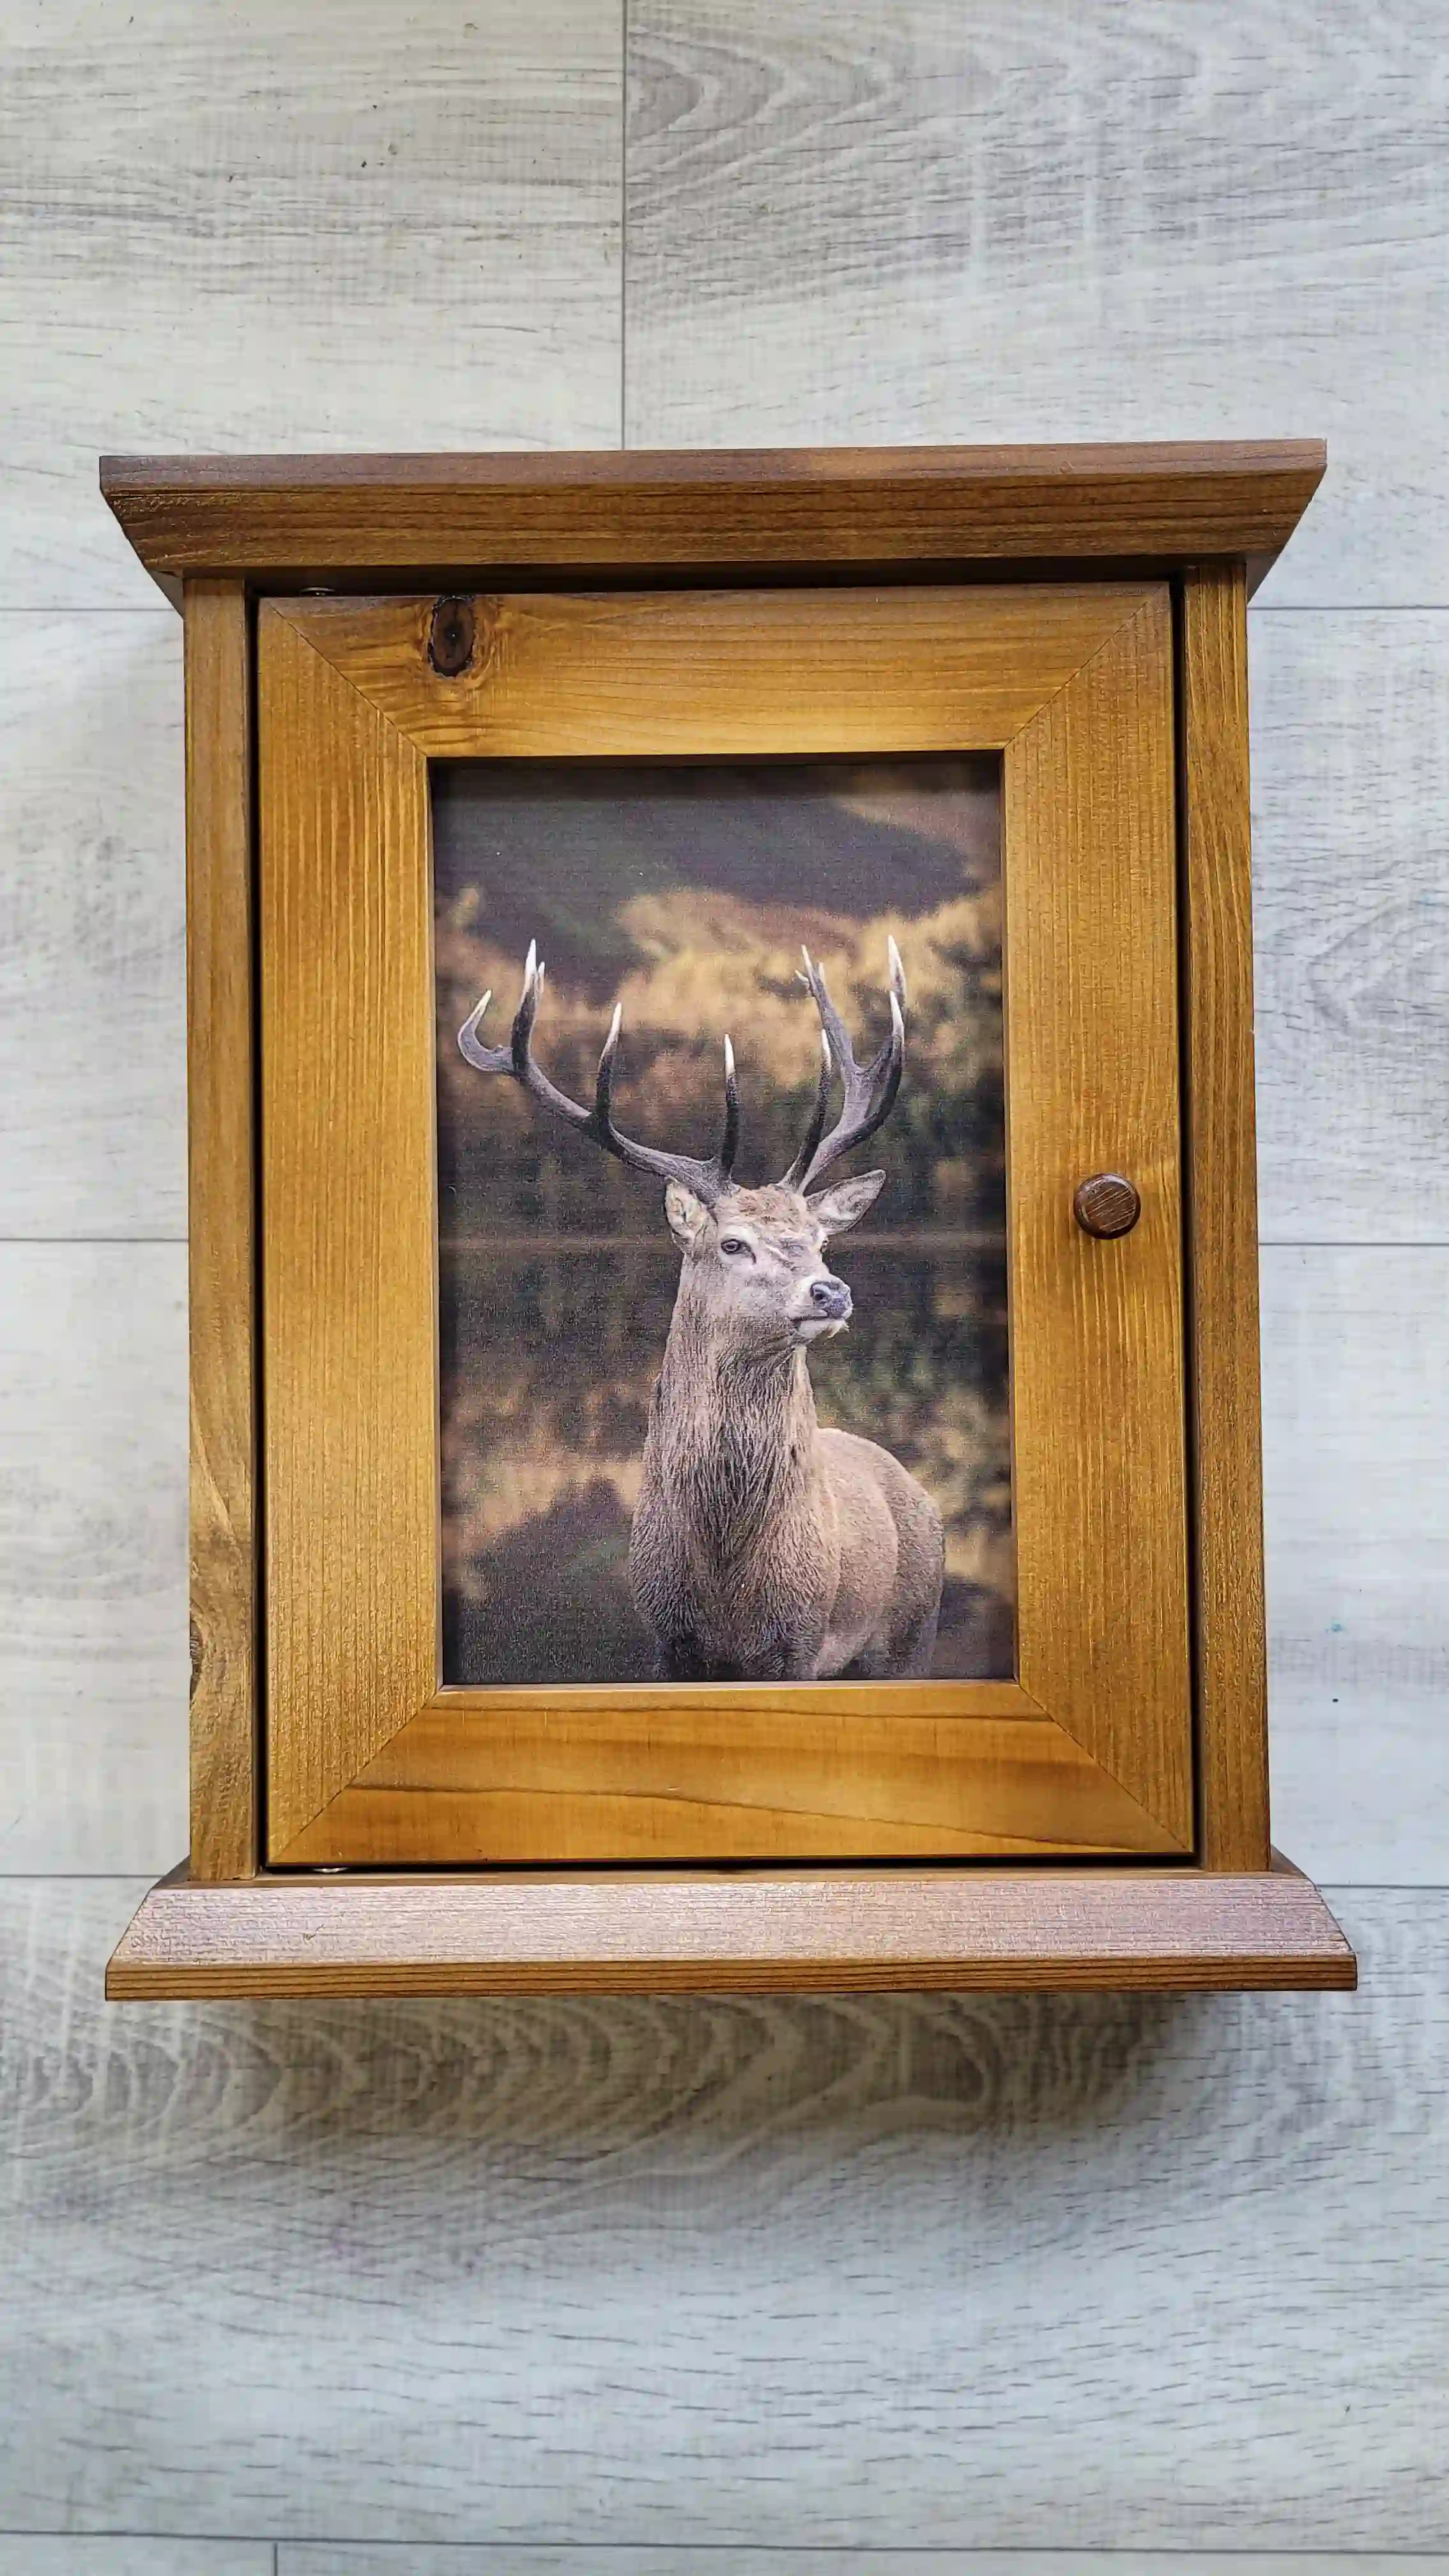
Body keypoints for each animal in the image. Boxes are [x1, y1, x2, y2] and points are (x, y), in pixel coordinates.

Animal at [457, 938, 944, 1683]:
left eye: (821, 1240)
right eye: (732, 1242)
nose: (831, 1291)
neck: (724, 1583)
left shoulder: (801, 1640)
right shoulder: (667, 1636)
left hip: (909, 1637)